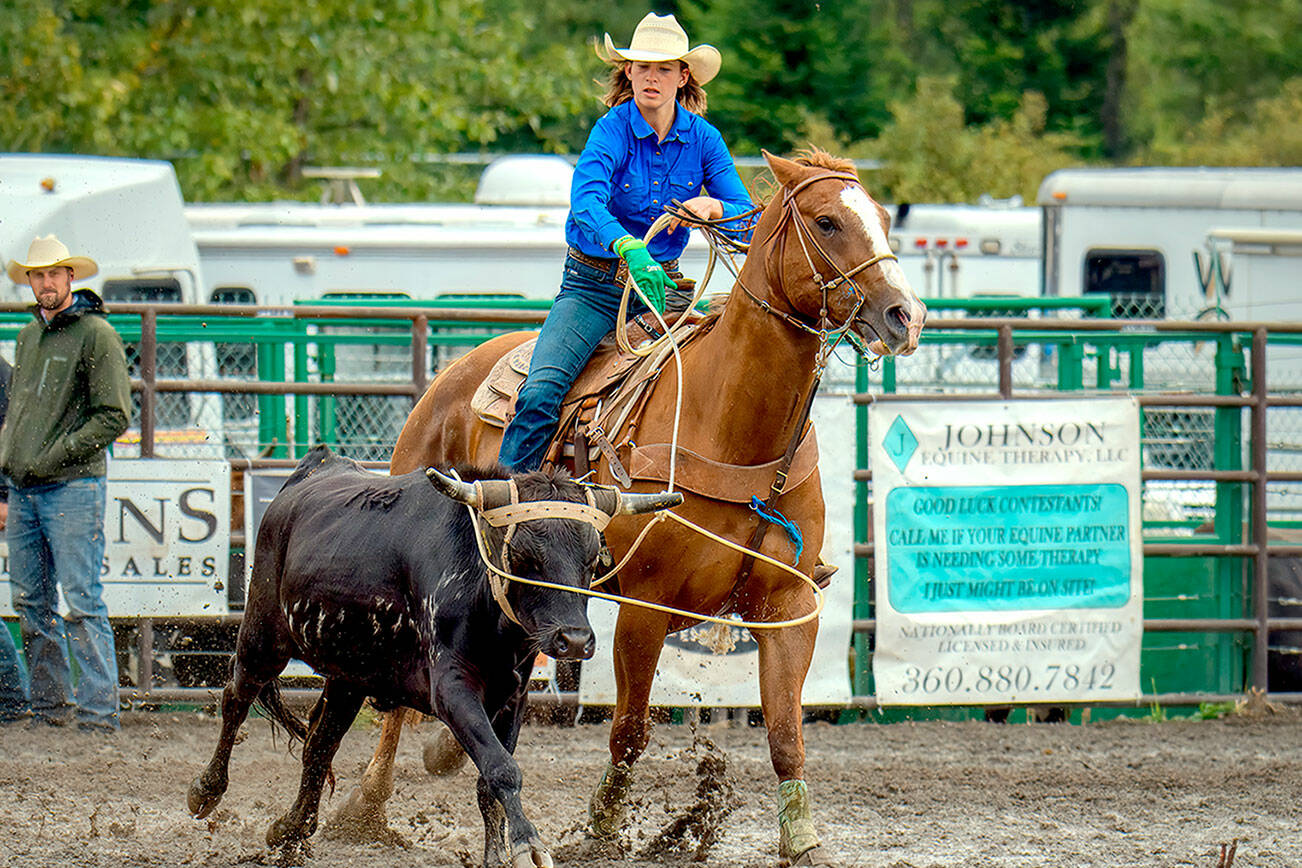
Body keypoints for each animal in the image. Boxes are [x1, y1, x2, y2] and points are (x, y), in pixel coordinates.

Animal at [335, 149, 927, 864]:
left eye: (881, 218)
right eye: (827, 221)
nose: (905, 316)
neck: (732, 425)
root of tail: (451, 374)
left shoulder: (788, 606)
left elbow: (786, 731)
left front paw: (803, 839)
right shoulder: (646, 605)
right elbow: (630, 728)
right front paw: (602, 825)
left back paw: (442, 754)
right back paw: (366, 805)